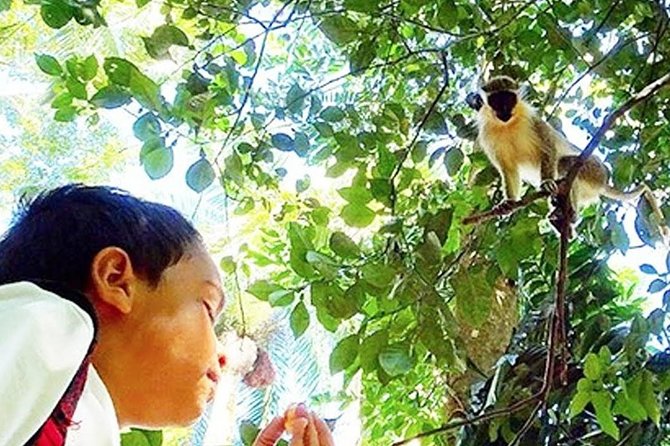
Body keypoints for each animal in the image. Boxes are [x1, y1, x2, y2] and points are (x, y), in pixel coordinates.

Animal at [466, 75, 668, 240]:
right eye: (496, 101)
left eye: (509, 99)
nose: (504, 110)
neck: (507, 125)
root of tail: (603, 183)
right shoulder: (486, 136)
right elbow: (508, 168)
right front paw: (508, 202)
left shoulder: (533, 121)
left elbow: (549, 149)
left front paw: (547, 182)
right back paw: (560, 216)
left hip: (594, 170)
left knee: (565, 164)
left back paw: (570, 212)